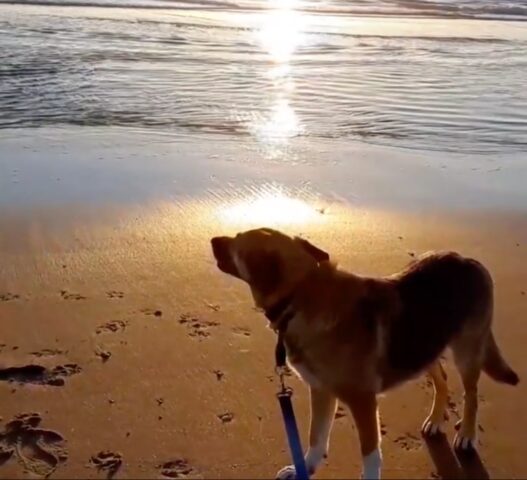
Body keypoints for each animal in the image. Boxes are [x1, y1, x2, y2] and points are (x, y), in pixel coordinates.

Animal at [210, 227, 520, 478]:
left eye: (237, 242)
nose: (212, 239)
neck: (301, 295)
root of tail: (468, 260)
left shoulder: (363, 403)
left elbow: (370, 455)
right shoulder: (321, 391)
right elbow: (315, 437)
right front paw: (304, 468)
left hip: (466, 351)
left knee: (471, 395)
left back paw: (467, 433)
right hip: (424, 348)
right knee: (441, 380)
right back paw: (435, 420)